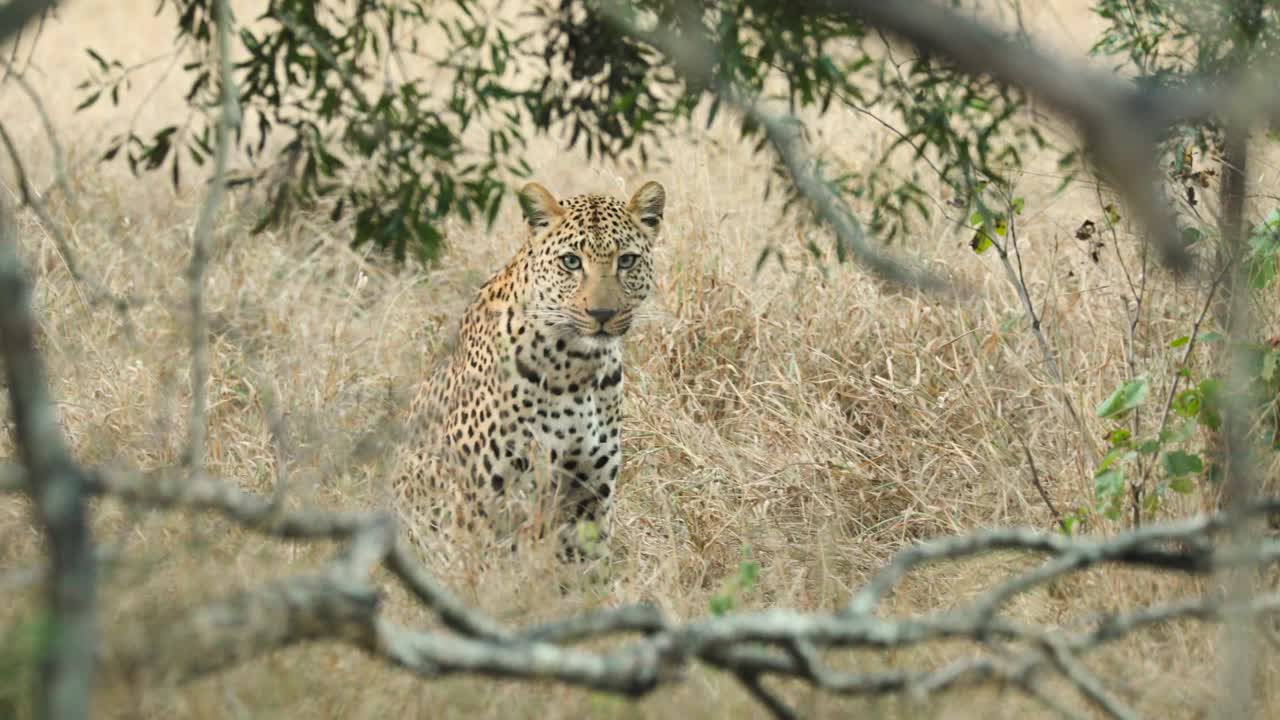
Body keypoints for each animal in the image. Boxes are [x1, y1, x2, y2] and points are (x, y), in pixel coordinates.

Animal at [404, 179, 666, 563]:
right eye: (571, 262)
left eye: (627, 260)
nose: (602, 314)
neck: (576, 368)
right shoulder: (481, 496)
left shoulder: (590, 491)